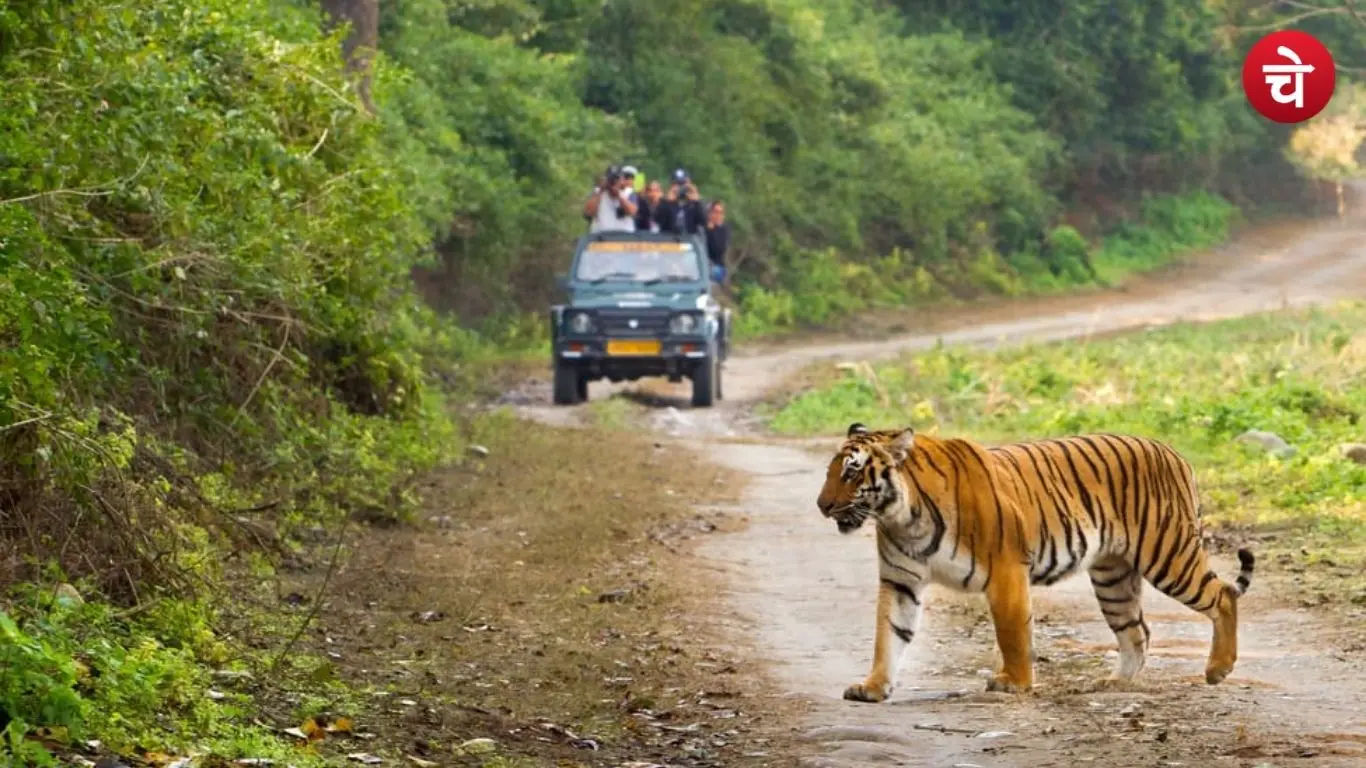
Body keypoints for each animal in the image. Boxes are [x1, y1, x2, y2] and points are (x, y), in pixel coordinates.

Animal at [816, 422, 1255, 703]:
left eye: (852, 473)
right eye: (830, 472)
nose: (822, 506)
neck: (901, 517)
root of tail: (1173, 451)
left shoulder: (1006, 570)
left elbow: (1011, 632)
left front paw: (1014, 682)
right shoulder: (900, 581)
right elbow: (888, 635)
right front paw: (873, 687)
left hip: (1168, 554)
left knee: (1223, 595)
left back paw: (1218, 669)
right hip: (1113, 577)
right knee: (1138, 632)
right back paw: (1114, 684)